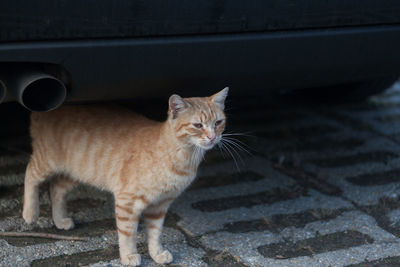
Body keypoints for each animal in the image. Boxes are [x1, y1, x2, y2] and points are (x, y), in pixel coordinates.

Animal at [21, 88, 228, 266]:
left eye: (218, 123)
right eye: (198, 125)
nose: (212, 137)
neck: (182, 157)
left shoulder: (160, 206)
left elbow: (155, 233)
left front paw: (156, 253)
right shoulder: (127, 201)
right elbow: (128, 234)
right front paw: (129, 255)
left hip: (77, 172)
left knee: (56, 187)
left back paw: (60, 220)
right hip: (47, 161)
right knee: (30, 173)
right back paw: (29, 213)